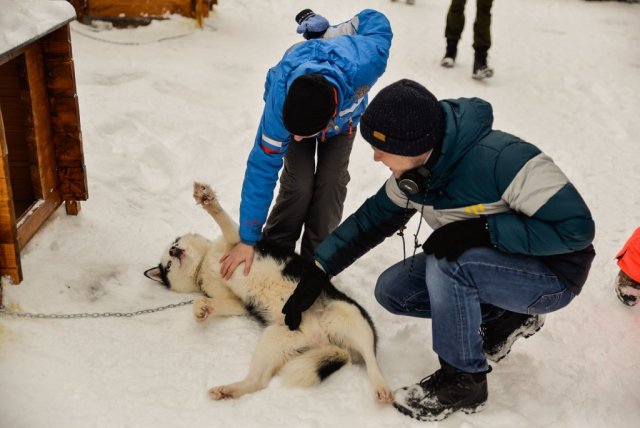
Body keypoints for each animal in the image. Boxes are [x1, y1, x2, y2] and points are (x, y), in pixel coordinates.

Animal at [146, 182, 396, 402]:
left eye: (176, 244)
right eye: (168, 265)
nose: (173, 250)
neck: (205, 262)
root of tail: (322, 340)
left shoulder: (237, 241)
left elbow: (223, 220)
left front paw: (208, 200)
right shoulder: (237, 302)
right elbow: (212, 303)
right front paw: (201, 309)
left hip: (348, 316)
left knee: (371, 360)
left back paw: (381, 387)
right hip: (274, 341)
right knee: (258, 381)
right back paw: (228, 390)